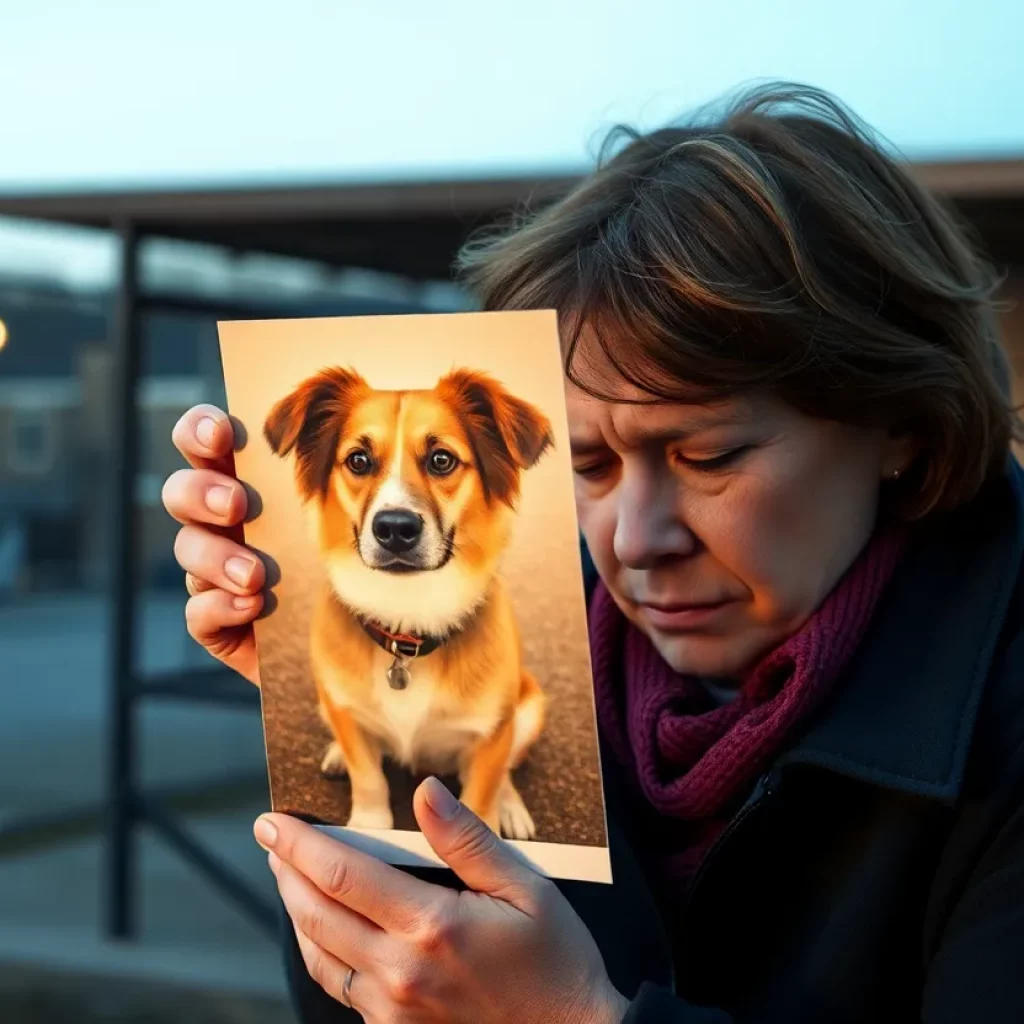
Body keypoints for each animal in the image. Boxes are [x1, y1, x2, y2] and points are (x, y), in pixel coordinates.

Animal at [264, 368, 552, 839]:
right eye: (358, 461)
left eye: (441, 460)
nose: (395, 529)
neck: (407, 625)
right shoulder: (345, 711)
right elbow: (368, 776)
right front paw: (369, 823)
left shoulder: (492, 733)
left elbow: (484, 794)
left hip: (528, 709)